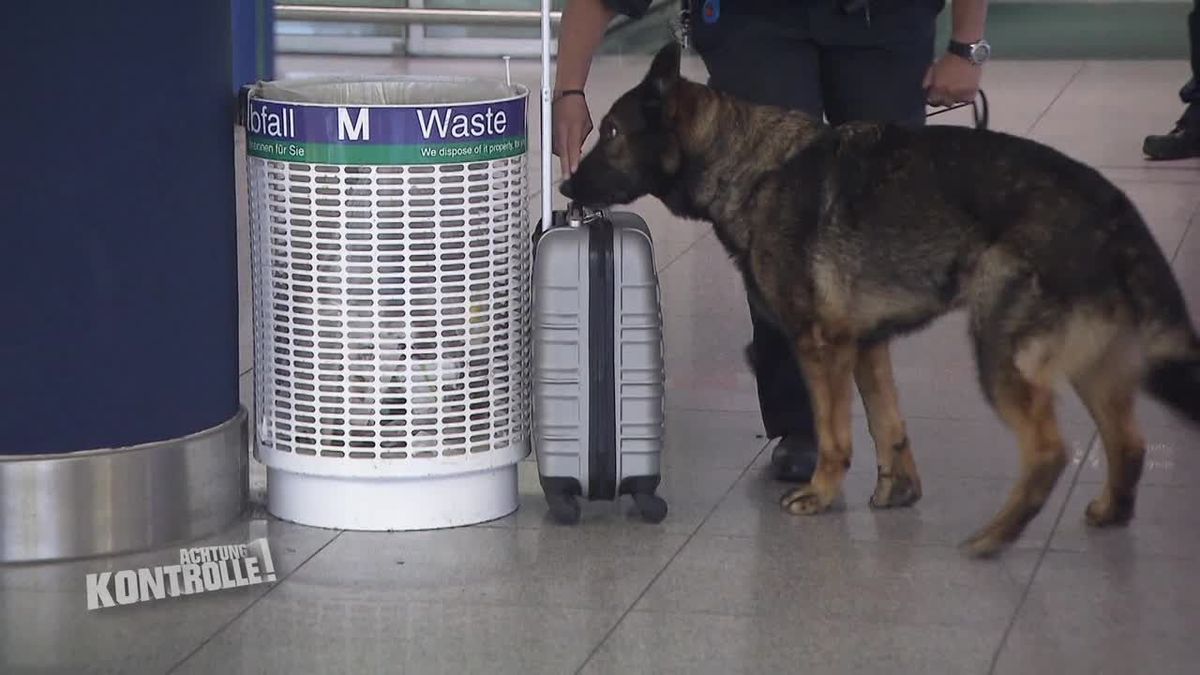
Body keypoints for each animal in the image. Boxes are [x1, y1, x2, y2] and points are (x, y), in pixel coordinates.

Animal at [559, 43, 1200, 557]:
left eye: (610, 133)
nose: (565, 185)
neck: (751, 166)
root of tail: (1109, 201)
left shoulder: (820, 349)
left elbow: (835, 434)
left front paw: (820, 493)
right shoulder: (864, 346)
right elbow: (887, 424)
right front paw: (897, 491)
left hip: (1001, 356)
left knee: (1048, 451)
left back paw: (996, 537)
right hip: (1092, 364)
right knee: (1129, 442)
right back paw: (1109, 513)